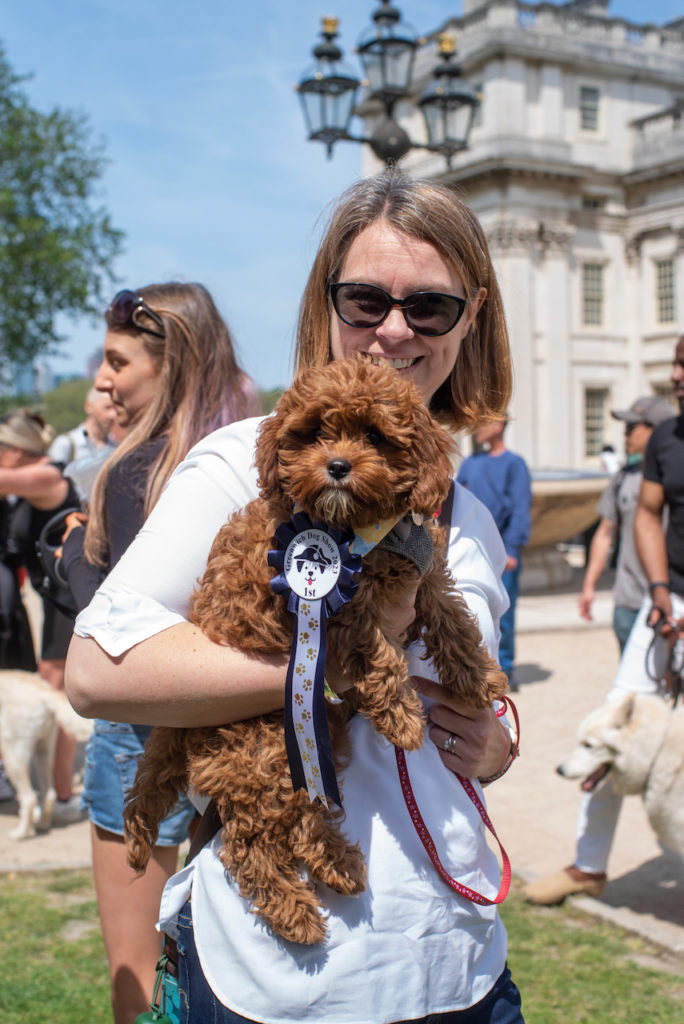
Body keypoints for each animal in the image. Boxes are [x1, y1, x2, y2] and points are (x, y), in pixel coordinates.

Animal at [0, 671, 92, 839]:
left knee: (29, 798)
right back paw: (42, 825)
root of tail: (43, 690)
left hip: (13, 751)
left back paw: (20, 833)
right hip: (44, 750)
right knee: (49, 794)